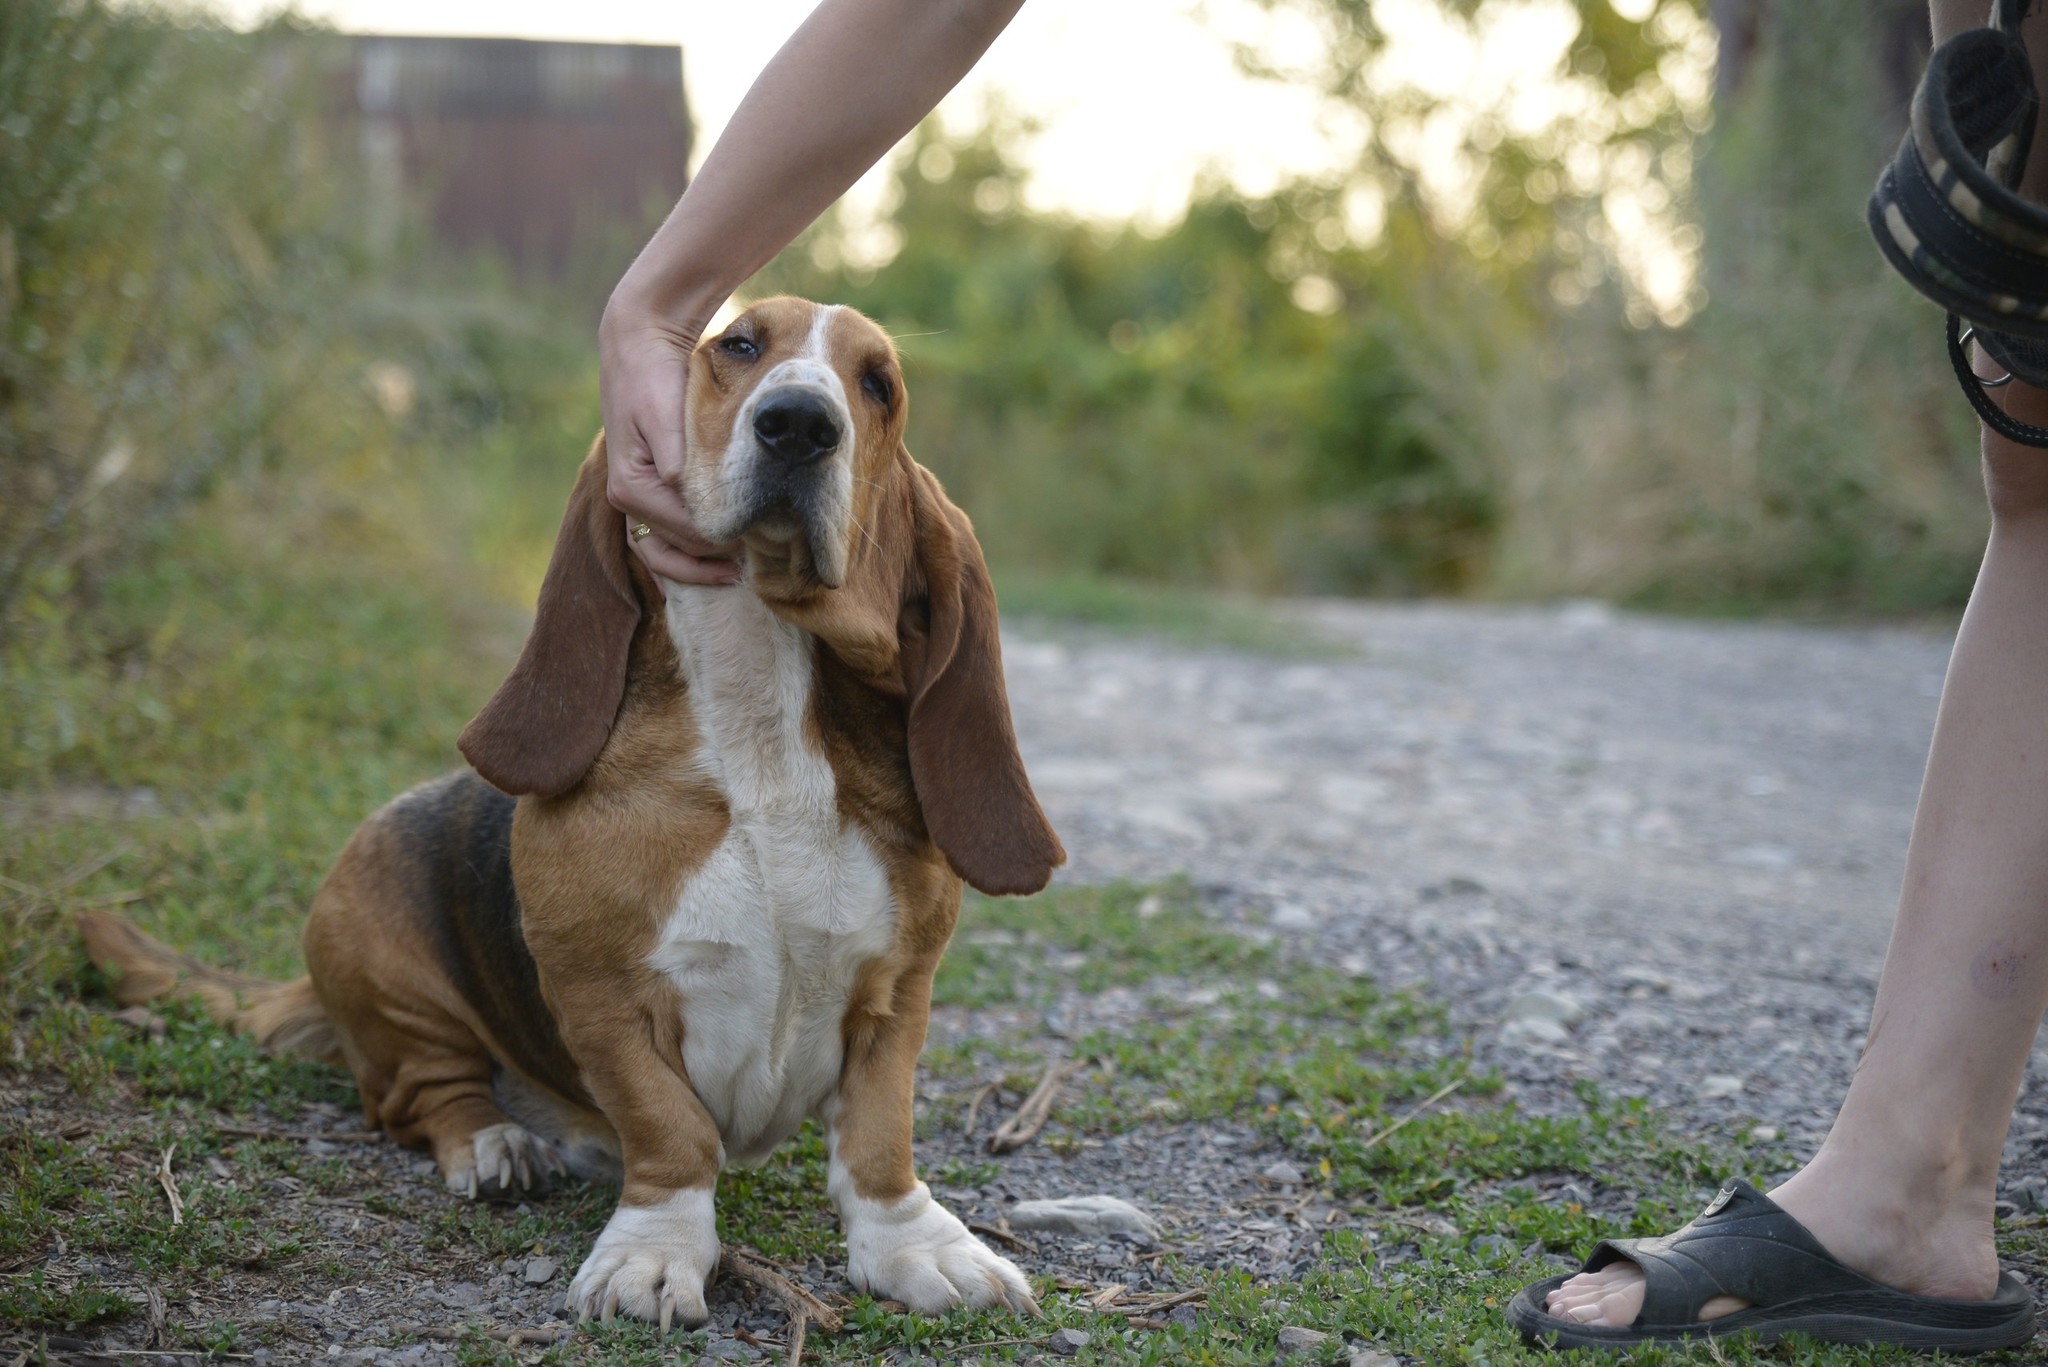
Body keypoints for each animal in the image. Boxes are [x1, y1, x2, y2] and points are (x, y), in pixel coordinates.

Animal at [75, 297, 1073, 1328]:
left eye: (879, 384)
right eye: (738, 344)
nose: (799, 422)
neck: (762, 721)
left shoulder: (896, 995)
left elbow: (879, 1139)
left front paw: (917, 1246)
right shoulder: (605, 999)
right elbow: (670, 1131)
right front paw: (655, 1255)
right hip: (387, 968)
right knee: (422, 1096)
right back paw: (497, 1144)